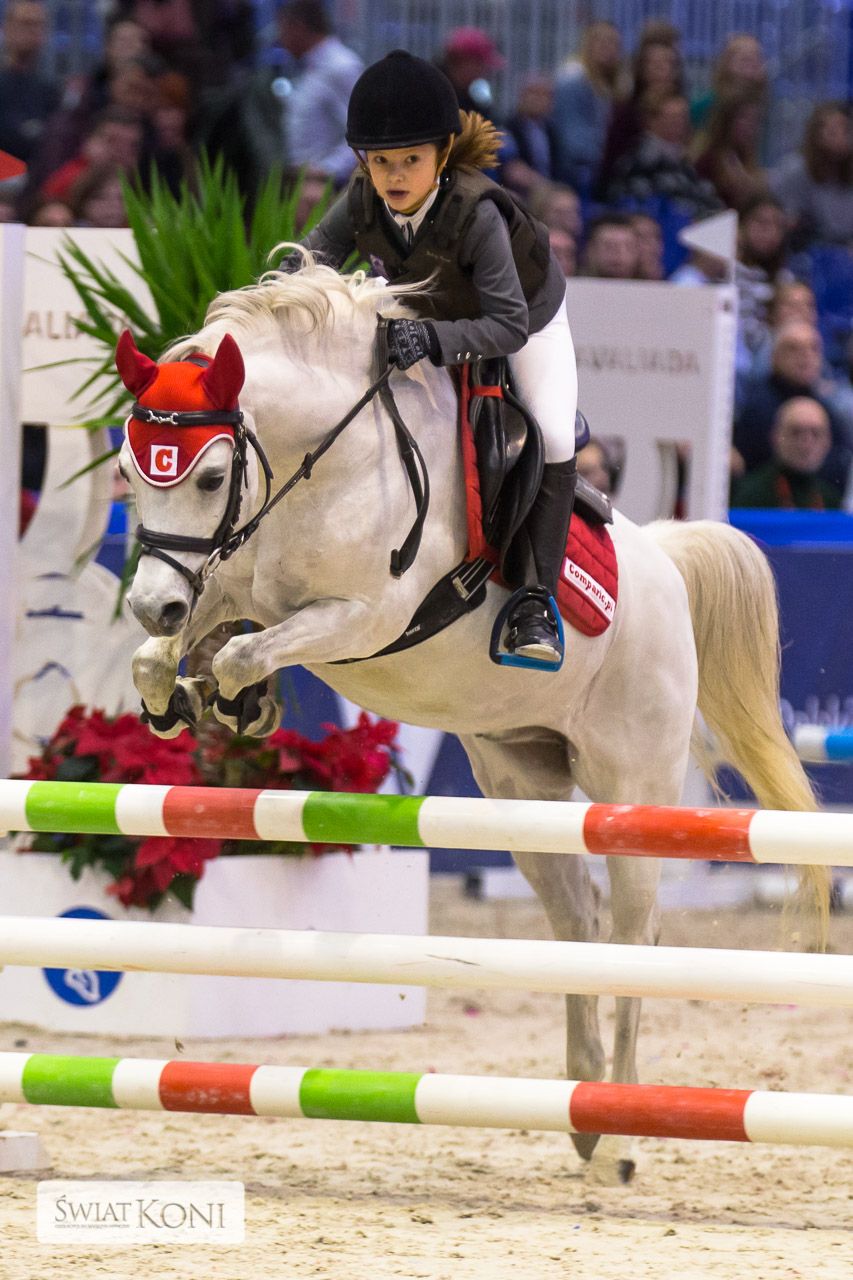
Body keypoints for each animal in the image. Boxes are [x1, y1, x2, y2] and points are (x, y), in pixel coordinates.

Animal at [116, 251, 828, 1183]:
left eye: (206, 476)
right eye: (132, 472)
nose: (149, 603)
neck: (323, 463)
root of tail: (666, 566)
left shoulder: (363, 619)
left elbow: (246, 651)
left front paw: (235, 697)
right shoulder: (229, 581)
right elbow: (180, 648)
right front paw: (183, 694)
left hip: (630, 786)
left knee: (633, 931)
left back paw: (621, 1137)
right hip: (522, 784)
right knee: (575, 920)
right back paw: (584, 1109)